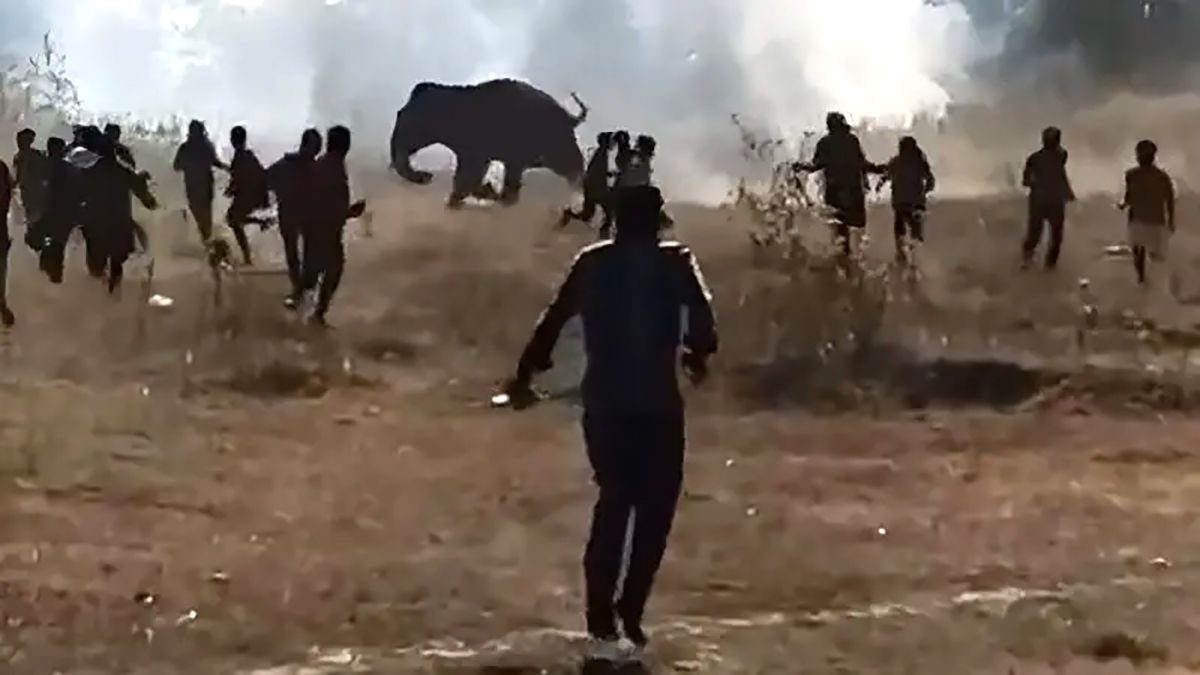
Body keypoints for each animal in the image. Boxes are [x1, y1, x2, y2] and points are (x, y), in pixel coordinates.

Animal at [390, 78, 588, 207]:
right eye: (400, 114)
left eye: (407, 118)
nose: (425, 176)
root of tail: (568, 116)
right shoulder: (476, 153)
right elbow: (472, 176)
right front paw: (485, 192)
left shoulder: (474, 151)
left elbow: (467, 176)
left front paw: (455, 201)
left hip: (556, 148)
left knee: (573, 164)